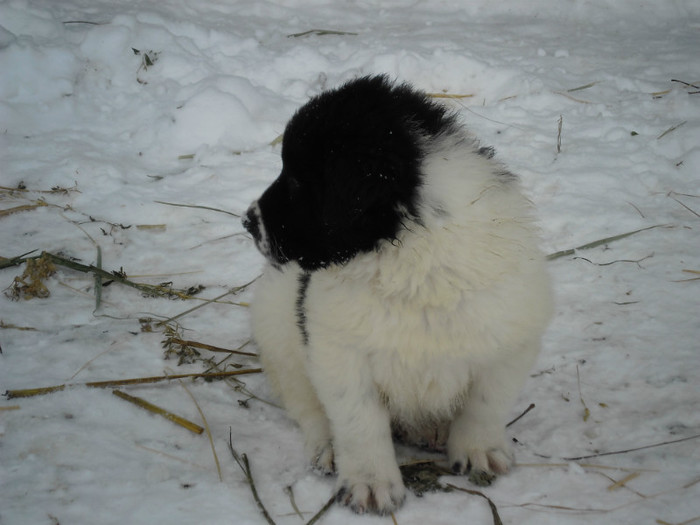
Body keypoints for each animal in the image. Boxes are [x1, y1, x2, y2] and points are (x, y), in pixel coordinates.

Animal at [241, 75, 552, 512]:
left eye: (298, 181)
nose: (247, 221)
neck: (411, 257)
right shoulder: (338, 352)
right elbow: (359, 422)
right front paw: (371, 483)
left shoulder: (509, 342)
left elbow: (486, 405)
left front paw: (478, 451)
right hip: (278, 332)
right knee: (307, 406)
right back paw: (329, 447)